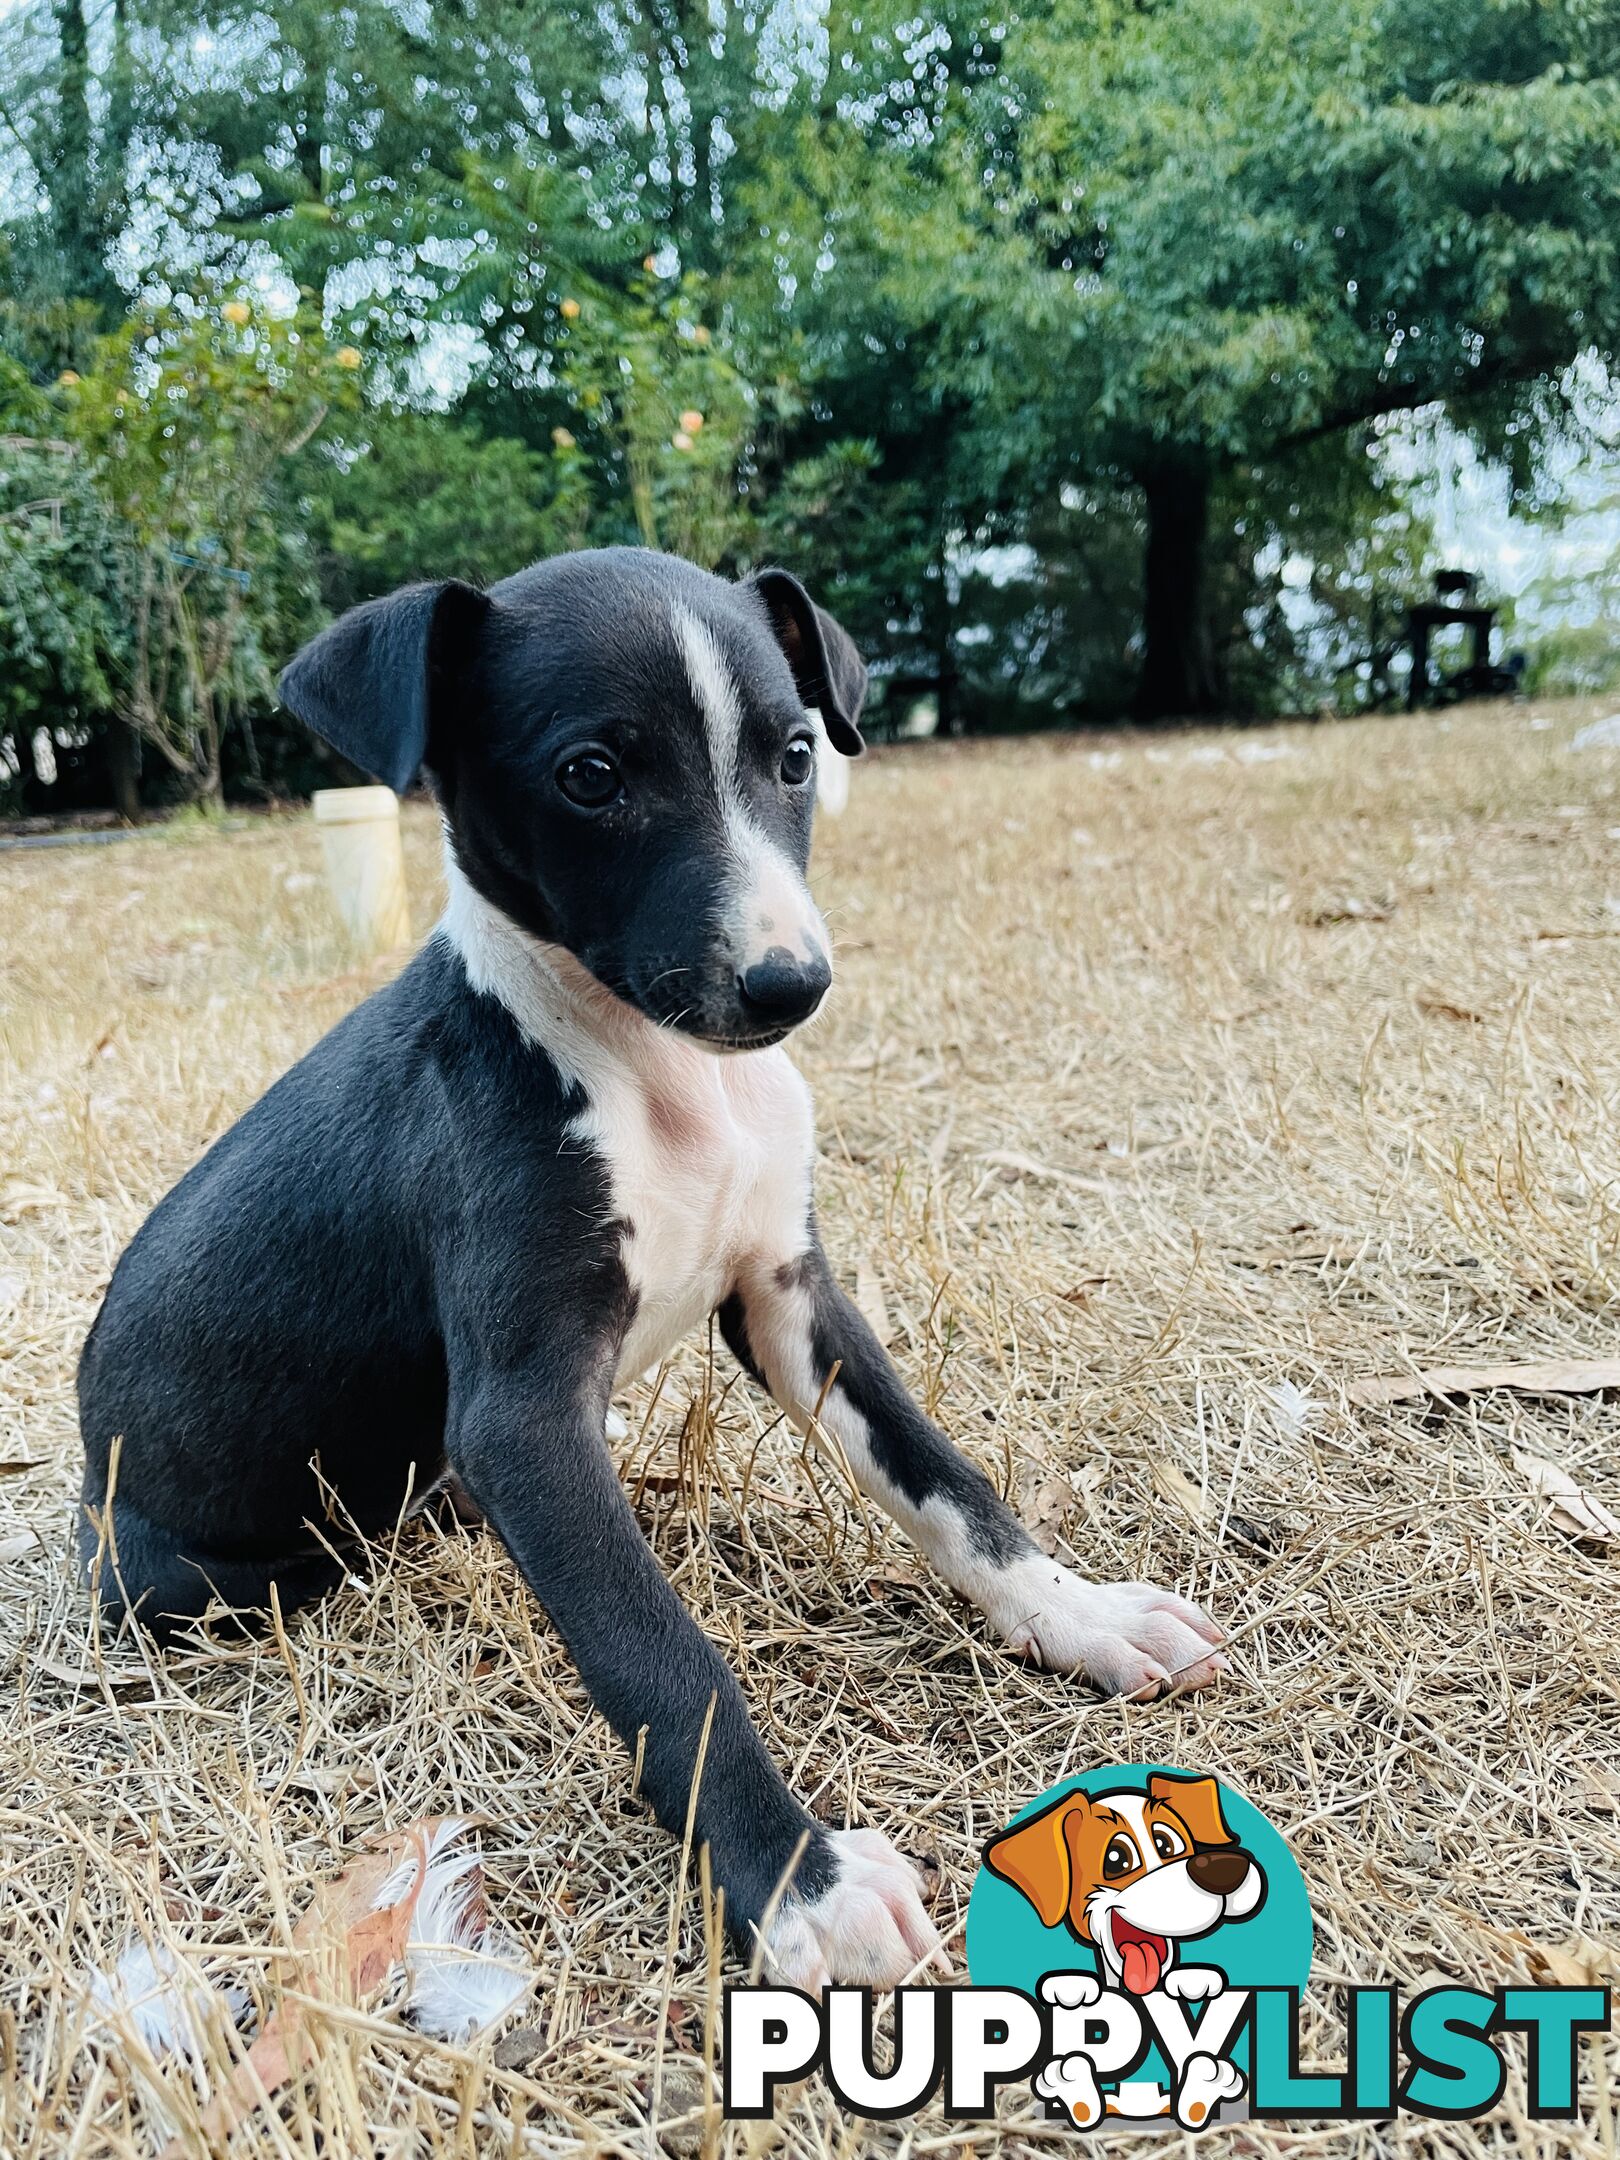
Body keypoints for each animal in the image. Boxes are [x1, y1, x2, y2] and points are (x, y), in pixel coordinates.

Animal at [72, 544, 1218, 1987]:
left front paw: (1081, 1614)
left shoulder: (792, 1299)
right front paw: (795, 1881)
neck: (654, 1075)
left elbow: (948, 1482)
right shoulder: (524, 1415)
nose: (790, 985)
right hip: (186, 1575)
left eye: (796, 755)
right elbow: (661, 1654)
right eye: (591, 776)